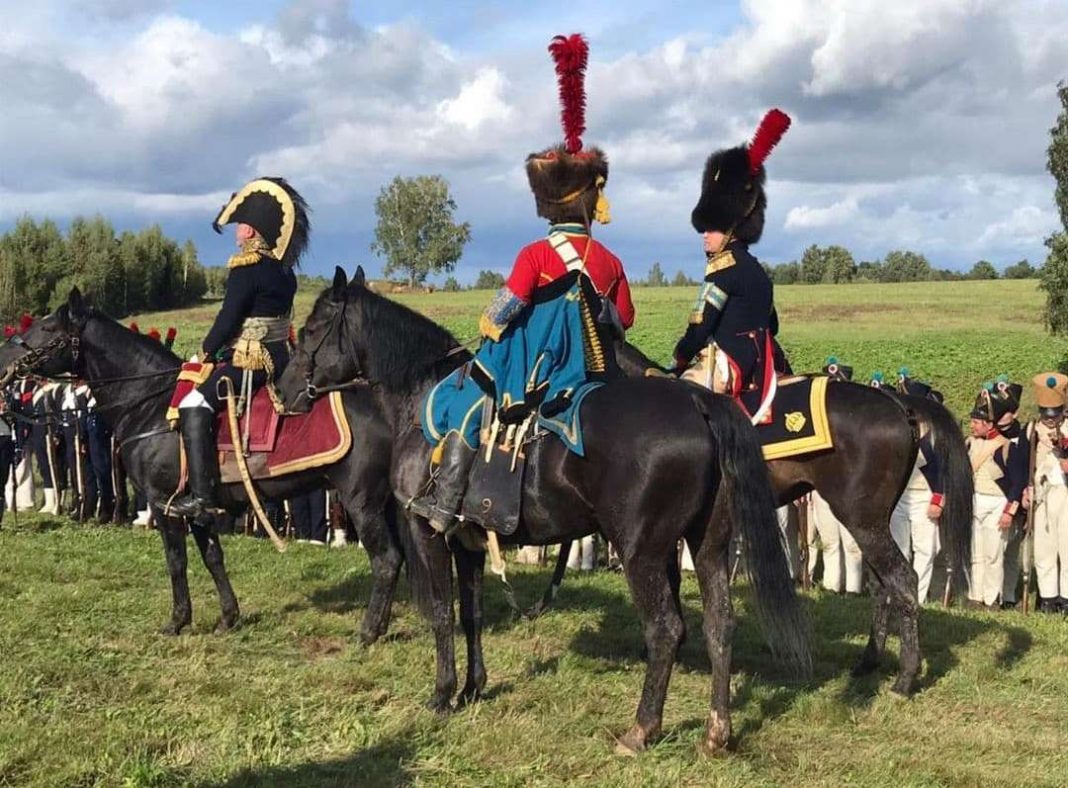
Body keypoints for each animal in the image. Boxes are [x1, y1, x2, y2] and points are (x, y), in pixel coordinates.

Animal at [0, 288, 401, 644]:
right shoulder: (198, 509)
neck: (149, 404)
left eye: (48, 327)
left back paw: (368, 632)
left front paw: (177, 621)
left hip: (361, 502)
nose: (4, 356)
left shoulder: (164, 504)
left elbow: (176, 562)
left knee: (386, 561)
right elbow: (213, 558)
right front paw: (228, 617)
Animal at [277, 266, 807, 751]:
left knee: (665, 630)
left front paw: (442, 694)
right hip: (708, 545)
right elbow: (471, 614)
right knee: (720, 625)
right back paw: (718, 732)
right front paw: (472, 689)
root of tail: (698, 401)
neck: (420, 400)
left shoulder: (427, 531)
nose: (282, 392)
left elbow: (441, 613)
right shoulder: (468, 543)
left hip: (642, 552)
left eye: (311, 329)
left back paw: (641, 729)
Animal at [615, 341, 974, 691]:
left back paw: (905, 677)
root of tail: (898, 404)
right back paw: (868, 662)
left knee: (903, 579)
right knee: (881, 585)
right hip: (873, 522)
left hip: (862, 521)